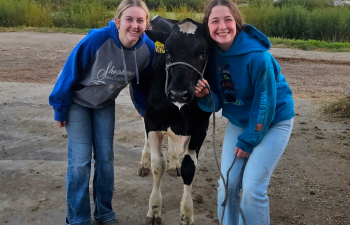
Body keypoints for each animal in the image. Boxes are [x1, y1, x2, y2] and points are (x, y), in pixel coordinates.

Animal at [131, 16, 212, 225]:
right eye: (167, 51)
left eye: (204, 52)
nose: (178, 93)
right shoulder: (153, 122)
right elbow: (158, 165)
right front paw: (154, 210)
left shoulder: (200, 128)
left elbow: (189, 169)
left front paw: (187, 215)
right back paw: (143, 163)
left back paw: (174, 162)